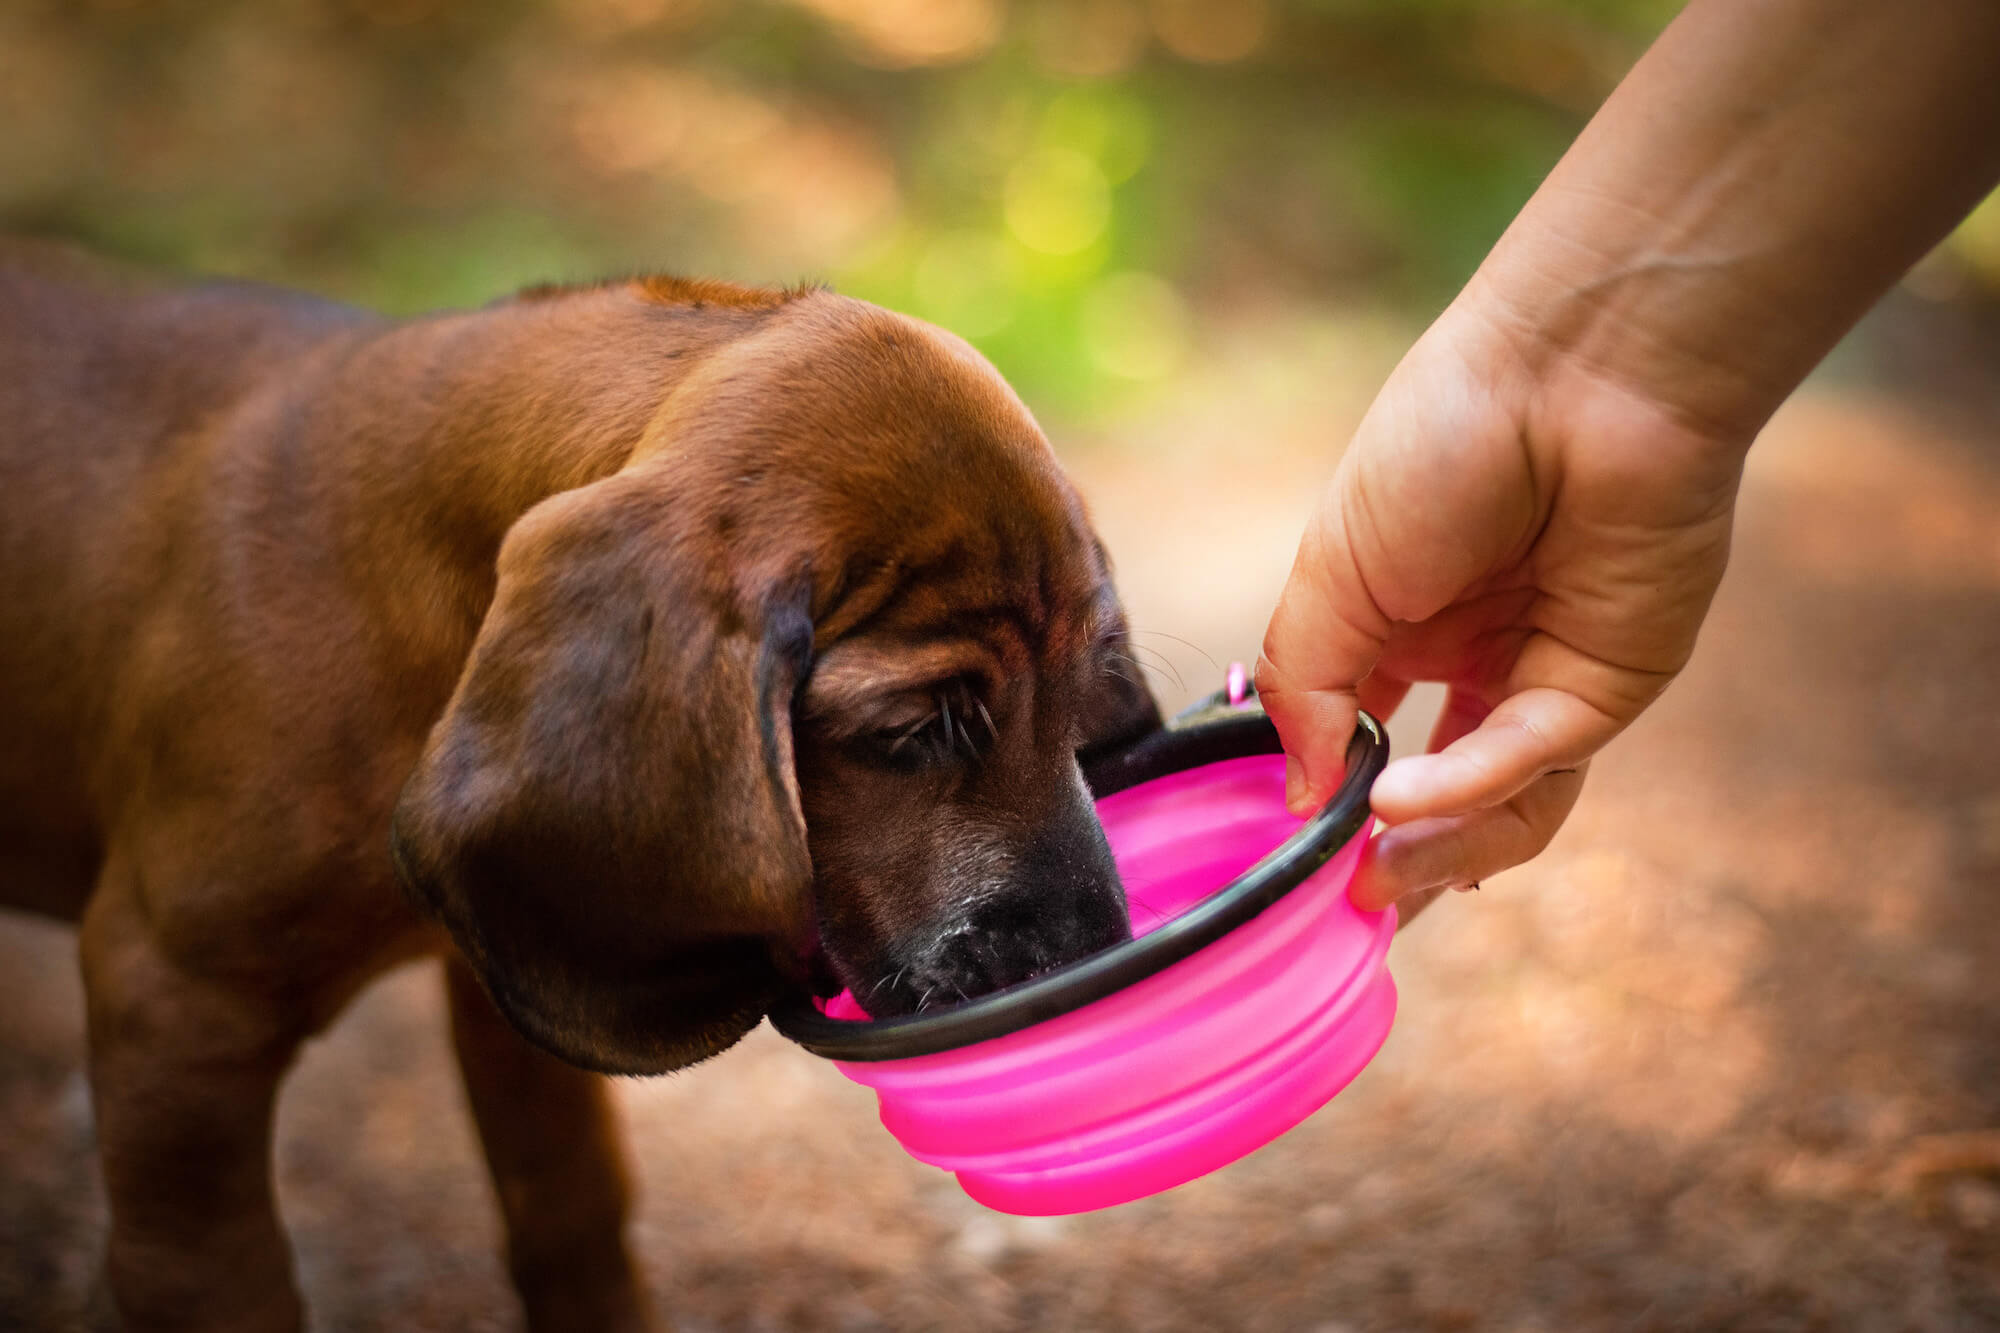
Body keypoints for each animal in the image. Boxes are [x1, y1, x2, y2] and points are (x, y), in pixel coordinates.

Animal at [0, 241, 1160, 1328]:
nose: (1089, 957)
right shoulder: (173, 1010)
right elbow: (218, 1280)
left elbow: (571, 1211)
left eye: (1079, 701)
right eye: (916, 730)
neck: (398, 595)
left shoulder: (509, 971)